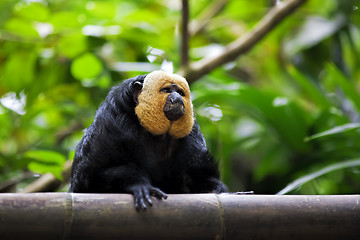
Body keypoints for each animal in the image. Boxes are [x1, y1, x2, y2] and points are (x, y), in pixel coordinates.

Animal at [68, 70, 226, 210]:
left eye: (180, 93)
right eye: (167, 90)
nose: (177, 98)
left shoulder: (192, 133)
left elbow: (199, 174)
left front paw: (215, 190)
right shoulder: (112, 123)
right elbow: (94, 175)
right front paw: (139, 185)